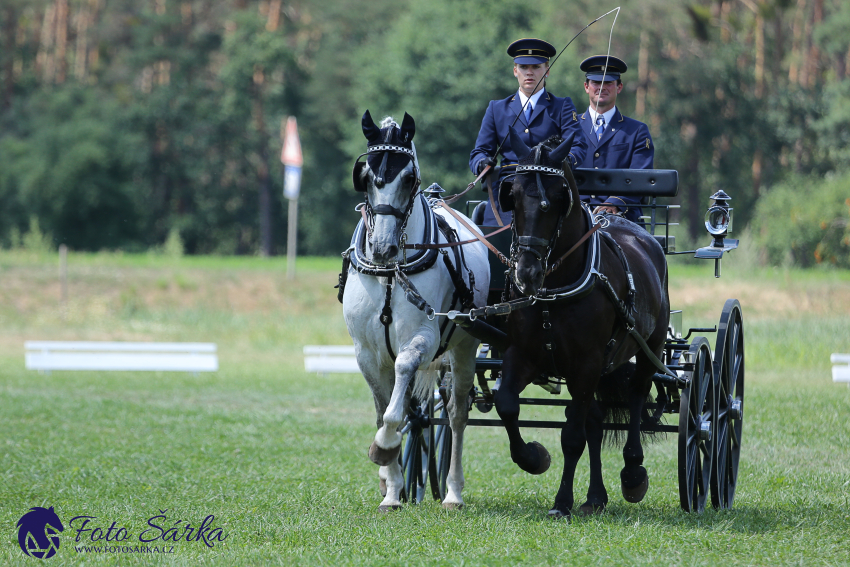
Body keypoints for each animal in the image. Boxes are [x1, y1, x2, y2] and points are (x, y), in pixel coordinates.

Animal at [340, 111, 486, 510]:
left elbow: (399, 395)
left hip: (464, 349)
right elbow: (383, 413)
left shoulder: (423, 339)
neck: (391, 273)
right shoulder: (367, 353)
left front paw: (384, 447)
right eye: (366, 177)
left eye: (408, 178)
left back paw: (453, 491)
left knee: (456, 416)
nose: (382, 248)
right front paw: (390, 488)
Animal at [494, 129, 664, 520]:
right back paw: (596, 497)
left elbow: (572, 438)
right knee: (595, 420)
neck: (554, 288)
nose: (526, 273)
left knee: (635, 396)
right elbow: (507, 404)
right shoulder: (523, 354)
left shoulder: (586, 363)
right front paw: (533, 458)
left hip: (650, 346)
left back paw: (633, 472)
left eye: (558, 199)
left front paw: (561, 502)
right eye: (513, 194)